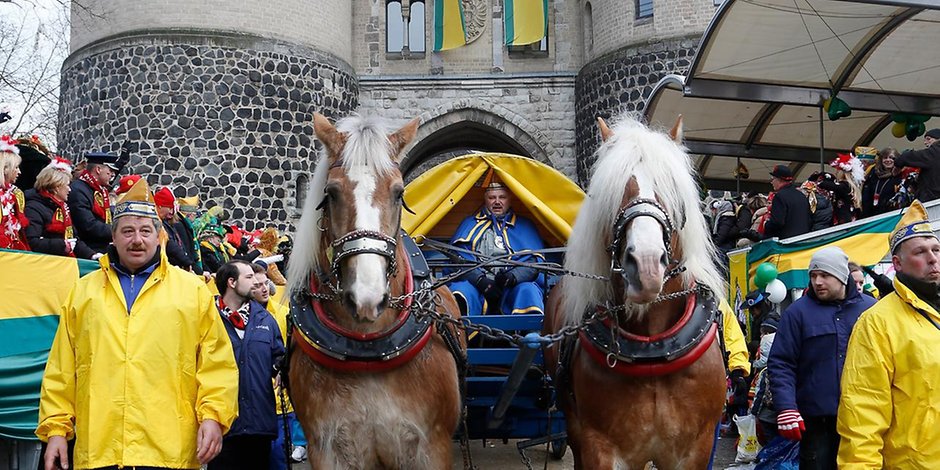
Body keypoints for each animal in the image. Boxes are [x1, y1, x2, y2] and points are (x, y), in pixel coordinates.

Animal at [284, 114, 464, 470]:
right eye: (331, 192)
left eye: (399, 192)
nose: (367, 298)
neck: (367, 351)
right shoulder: (326, 448)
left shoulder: (433, 446)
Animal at [544, 114, 728, 470]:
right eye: (614, 194)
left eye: (674, 194)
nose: (646, 265)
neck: (652, 349)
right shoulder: (600, 447)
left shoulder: (696, 449)